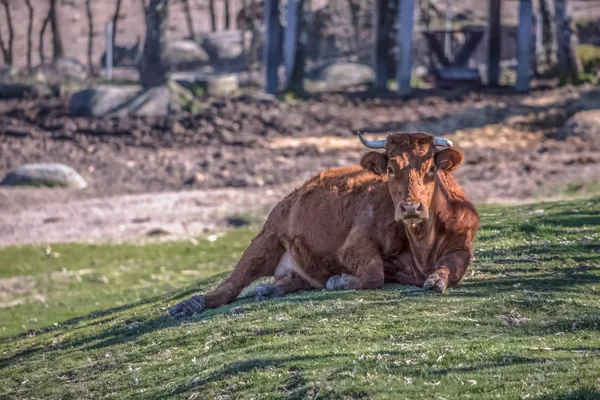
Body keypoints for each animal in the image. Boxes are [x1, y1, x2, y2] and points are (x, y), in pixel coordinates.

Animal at [169, 133, 478, 318]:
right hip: (263, 241)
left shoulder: (462, 246)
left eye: (431, 169)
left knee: (291, 280)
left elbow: (452, 269)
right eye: (390, 168)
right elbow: (373, 274)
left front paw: (437, 279)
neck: (421, 248)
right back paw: (187, 306)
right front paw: (340, 281)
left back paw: (270, 289)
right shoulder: (354, 245)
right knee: (229, 287)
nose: (410, 207)